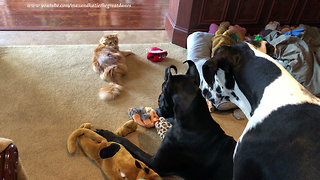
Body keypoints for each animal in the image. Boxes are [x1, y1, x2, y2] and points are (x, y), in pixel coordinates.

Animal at [96, 61, 234, 179]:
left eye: (162, 92)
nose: (158, 99)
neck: (195, 121)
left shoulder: (154, 163)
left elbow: (127, 143)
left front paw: (107, 133)